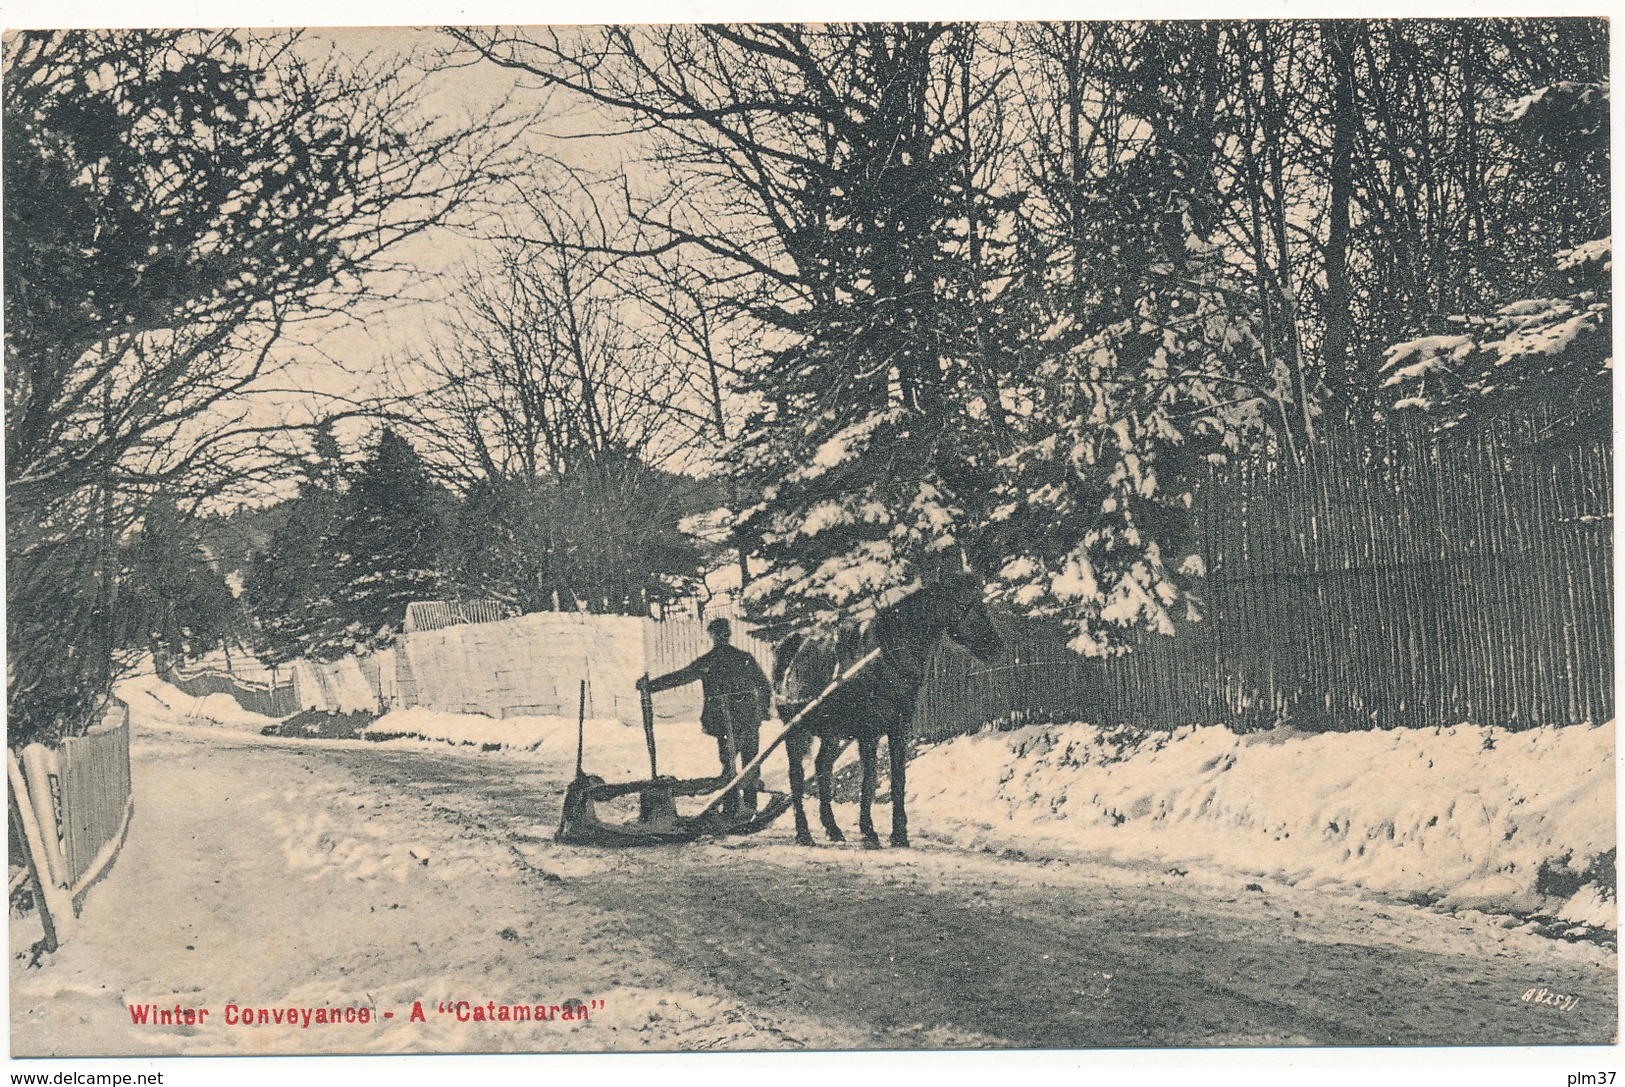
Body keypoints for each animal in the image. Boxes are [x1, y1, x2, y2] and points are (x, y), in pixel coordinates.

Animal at [773, 568, 1001, 844]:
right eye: (965, 604)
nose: (996, 646)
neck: (888, 656)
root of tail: (791, 644)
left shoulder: (898, 728)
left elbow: (898, 777)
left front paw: (899, 834)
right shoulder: (868, 732)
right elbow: (869, 779)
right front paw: (868, 830)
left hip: (830, 731)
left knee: (822, 768)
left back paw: (833, 828)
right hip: (795, 730)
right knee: (796, 777)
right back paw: (804, 832)